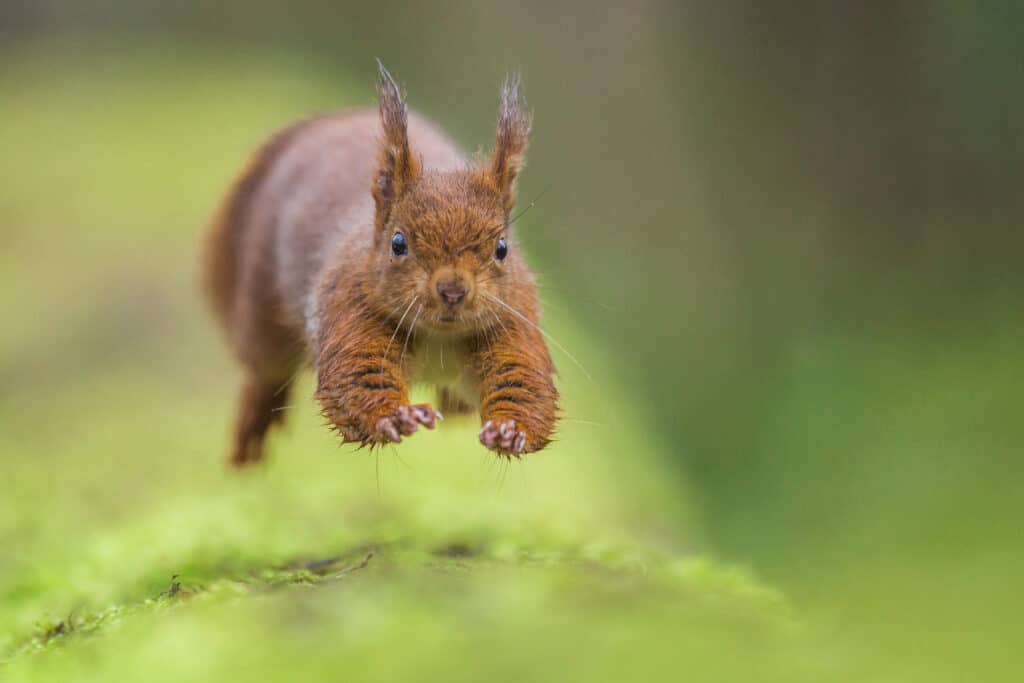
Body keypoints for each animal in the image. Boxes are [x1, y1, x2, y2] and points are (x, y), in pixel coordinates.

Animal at [200, 63, 561, 466]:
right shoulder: (348, 307)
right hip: (261, 305)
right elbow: (357, 378)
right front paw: (395, 417)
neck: (439, 337)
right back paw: (254, 423)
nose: (453, 291)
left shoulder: (514, 319)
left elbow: (523, 384)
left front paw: (510, 431)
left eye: (502, 248)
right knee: (265, 370)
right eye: (398, 243)